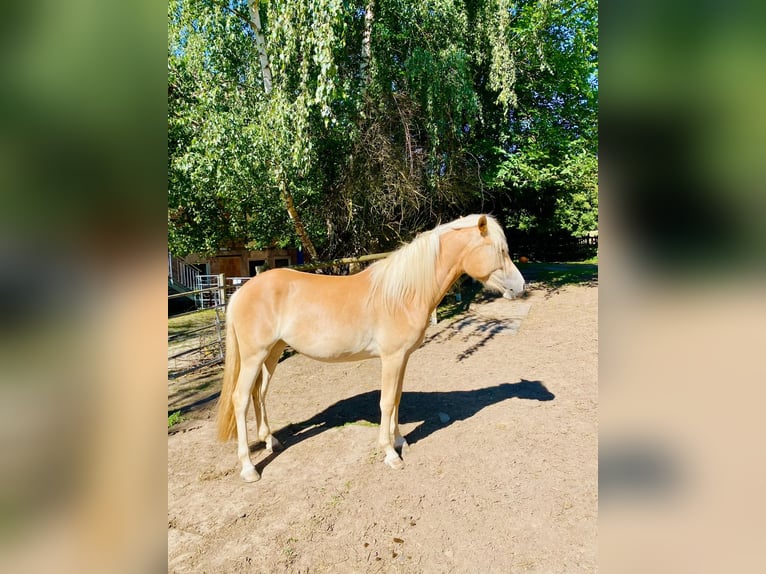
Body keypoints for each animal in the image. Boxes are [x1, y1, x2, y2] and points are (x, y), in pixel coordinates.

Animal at [216, 214, 526, 482]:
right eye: (499, 250)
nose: (521, 287)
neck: (403, 294)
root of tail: (241, 291)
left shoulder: (402, 359)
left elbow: (397, 398)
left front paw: (400, 441)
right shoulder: (391, 358)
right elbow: (386, 402)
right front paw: (390, 453)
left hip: (273, 353)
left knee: (259, 393)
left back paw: (271, 441)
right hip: (254, 356)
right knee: (241, 399)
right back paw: (248, 468)